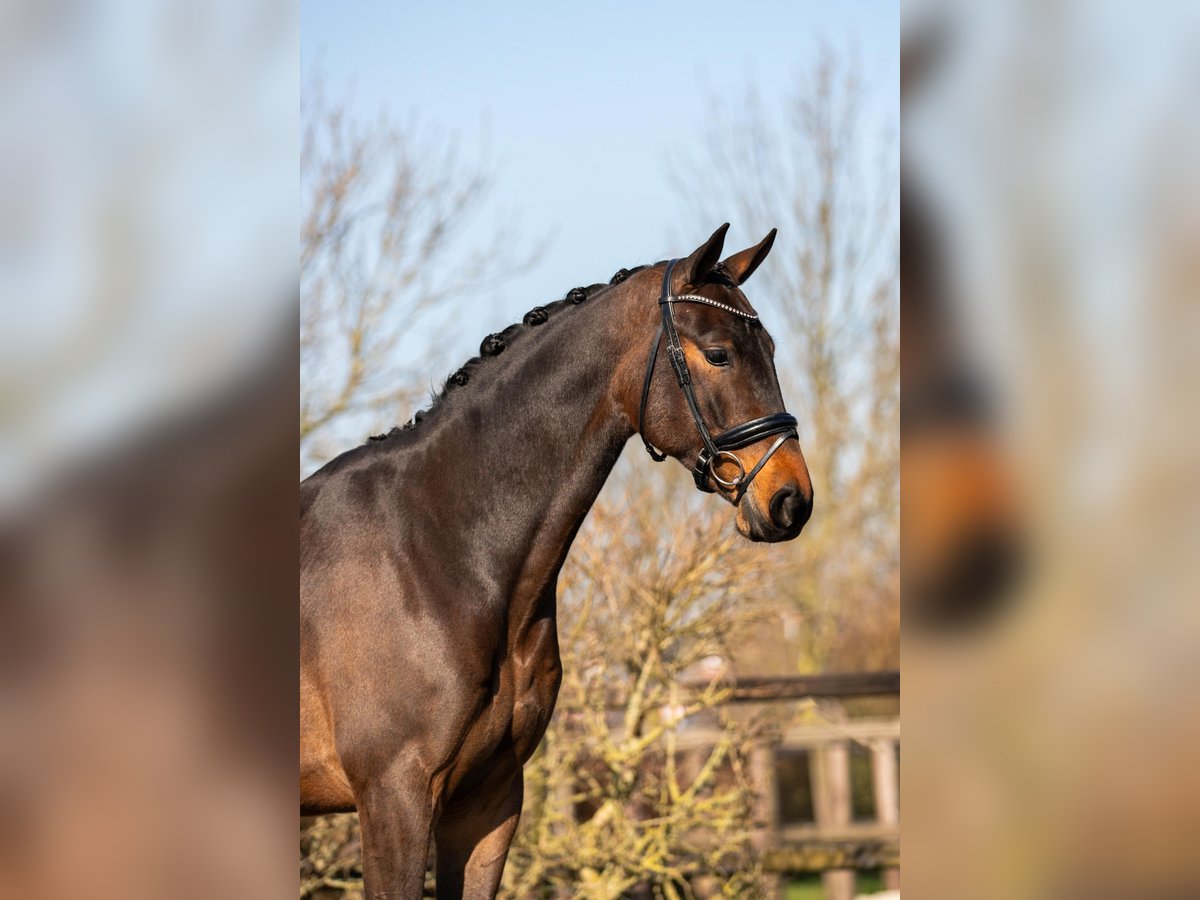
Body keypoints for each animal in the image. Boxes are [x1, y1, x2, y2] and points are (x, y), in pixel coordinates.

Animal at [300, 222, 816, 897]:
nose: (791, 500)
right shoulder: (393, 798)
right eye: (718, 353)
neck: (435, 551)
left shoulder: (489, 801)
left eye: (772, 349)